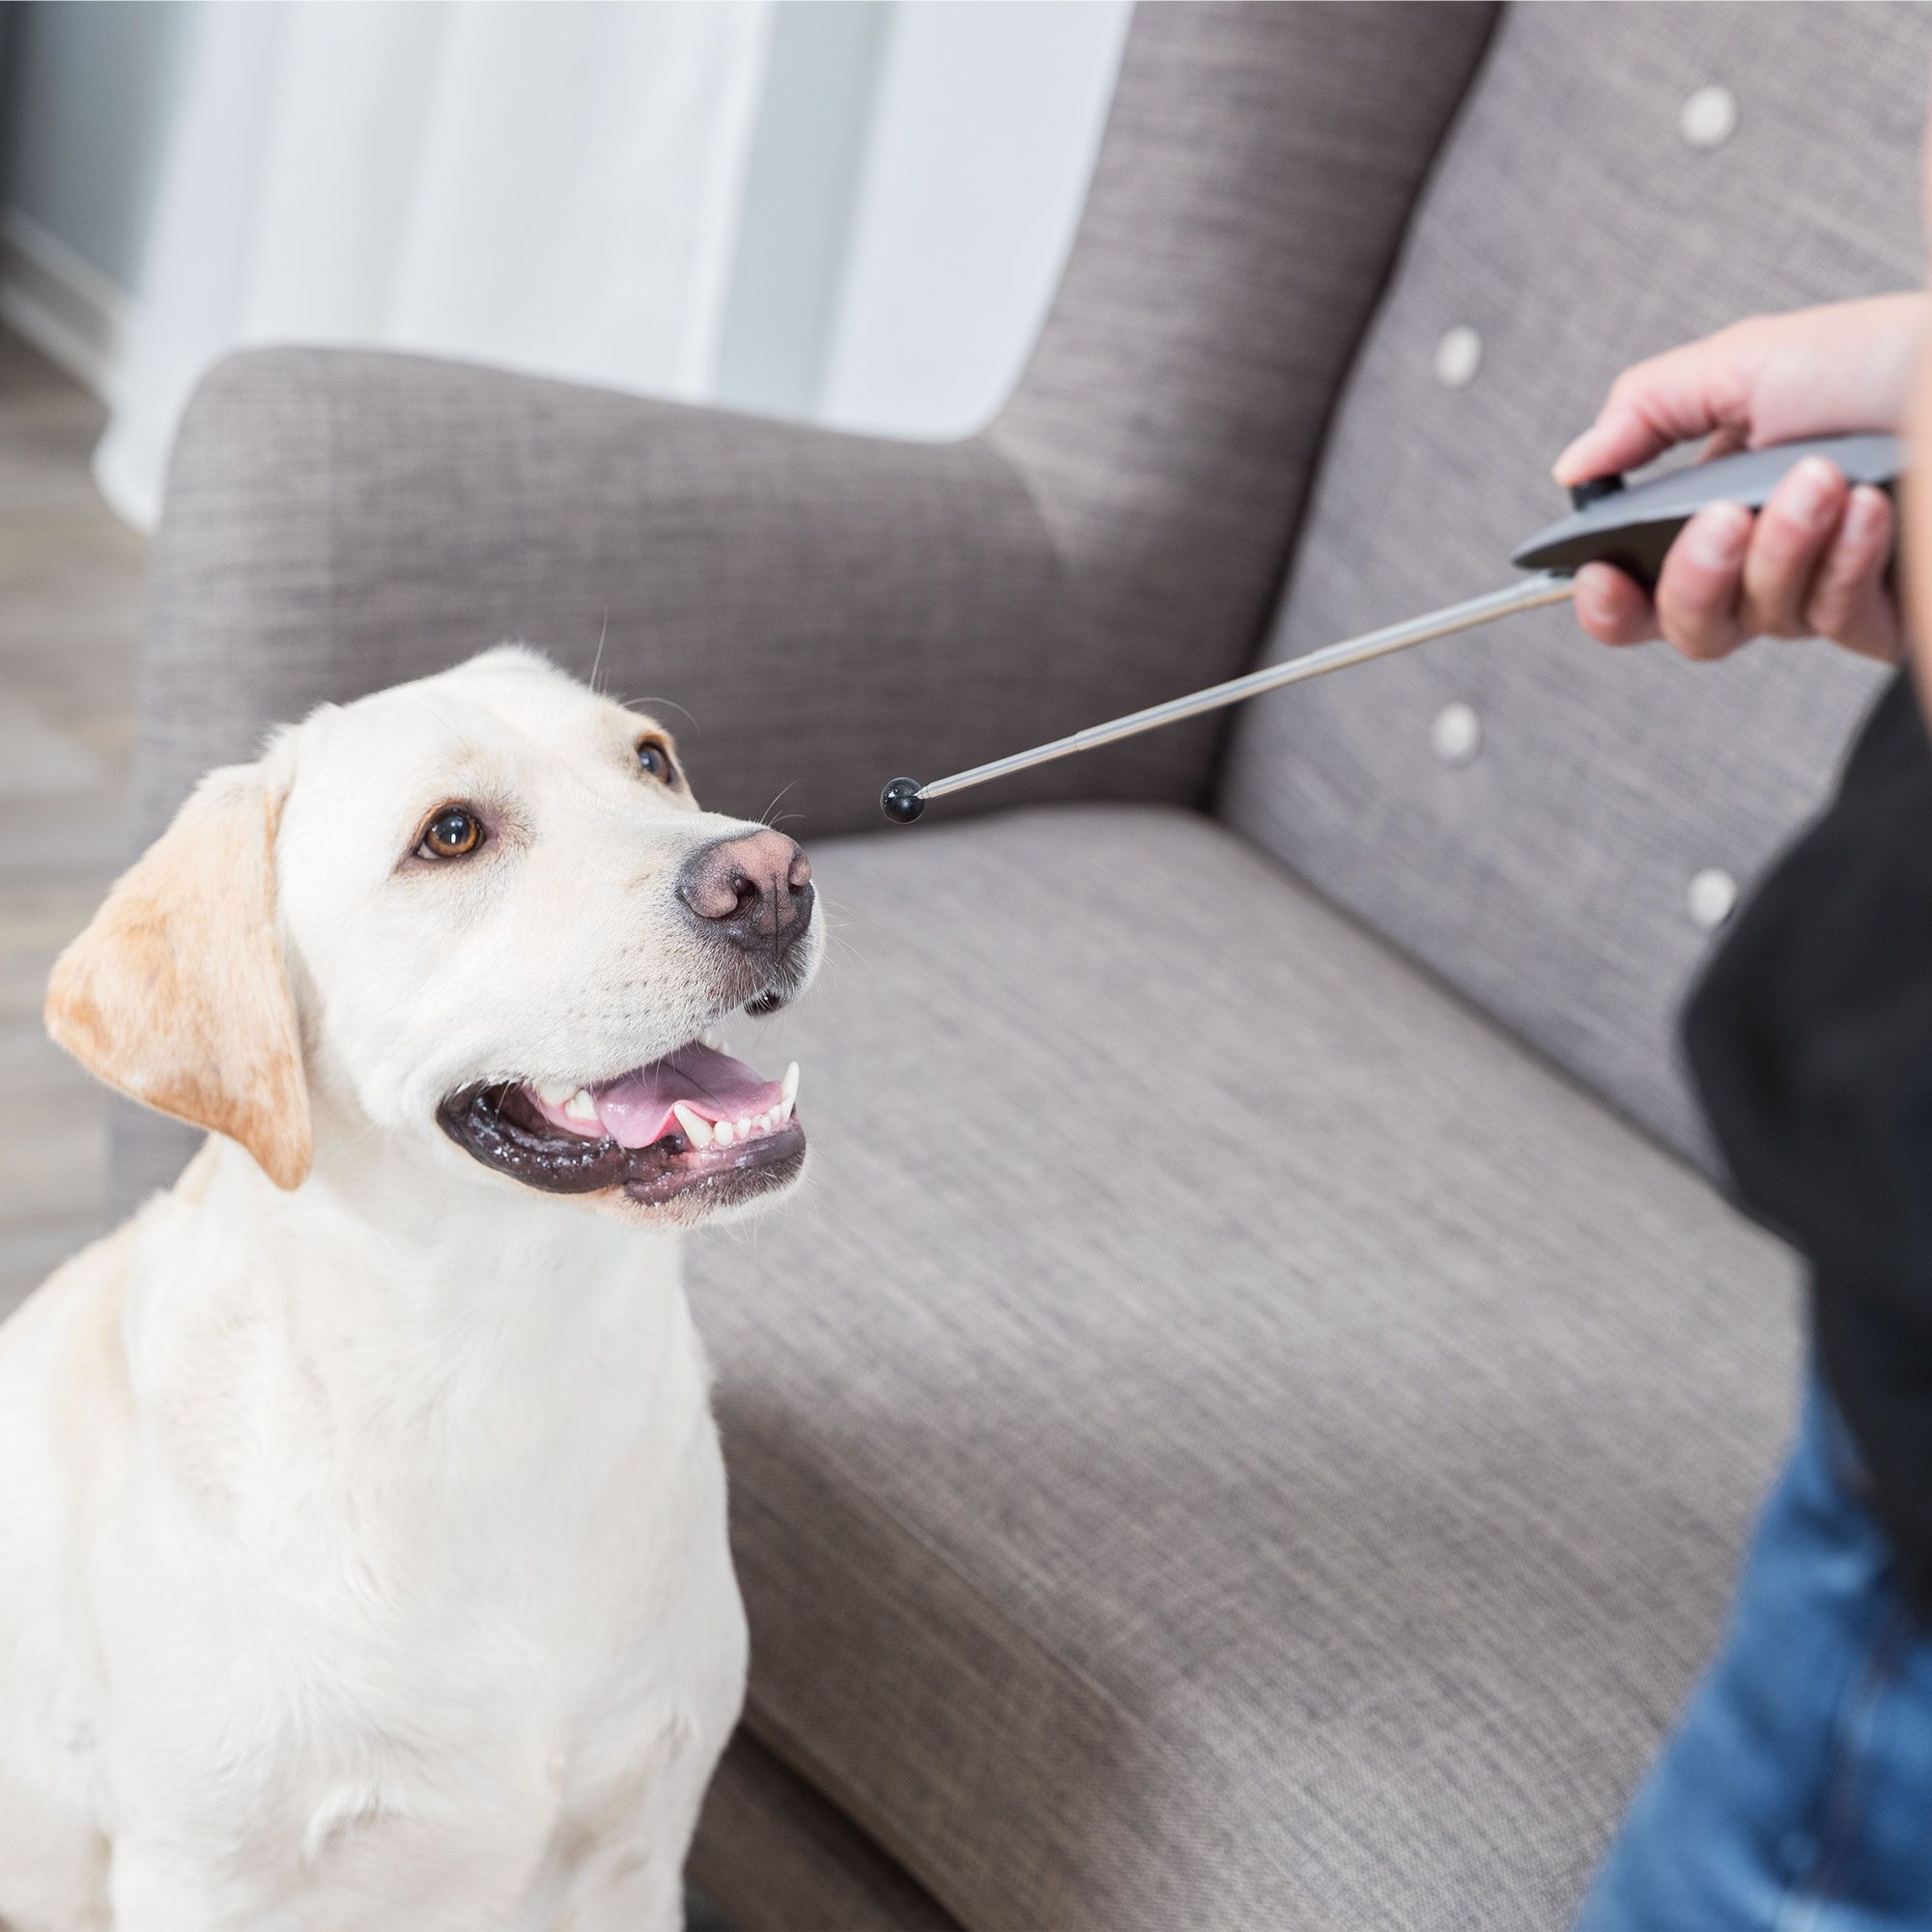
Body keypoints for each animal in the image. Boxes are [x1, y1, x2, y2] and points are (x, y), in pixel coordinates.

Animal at [0, 653, 819, 1932]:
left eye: (650, 759)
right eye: (451, 834)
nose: (771, 877)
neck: (493, 1367)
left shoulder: (634, 1853)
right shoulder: (202, 1875)